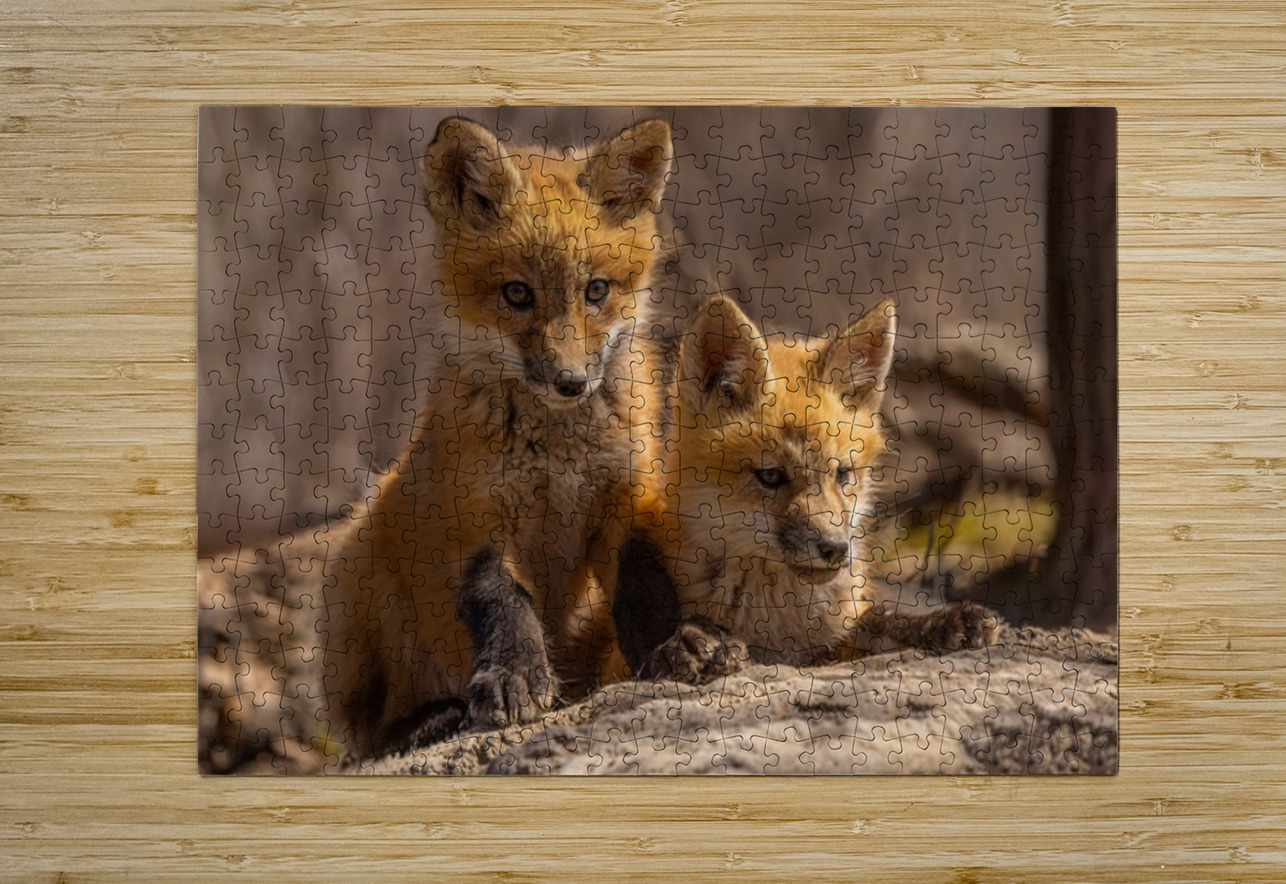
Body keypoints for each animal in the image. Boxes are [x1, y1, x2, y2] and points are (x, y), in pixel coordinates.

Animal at [199, 116, 674, 770]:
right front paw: (514, 677)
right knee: (366, 737)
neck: (557, 453)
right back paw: (428, 721)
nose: (571, 381)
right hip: (359, 560)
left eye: (597, 290)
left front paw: (681, 647)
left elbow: (644, 585)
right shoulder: (473, 515)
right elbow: (505, 601)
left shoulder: (627, 496)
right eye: (517, 294)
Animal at [612, 295, 1001, 683]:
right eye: (771, 476)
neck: (778, 617)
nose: (836, 549)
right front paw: (690, 647)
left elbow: (881, 625)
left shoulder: (837, 636)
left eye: (843, 474)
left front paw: (940, 624)